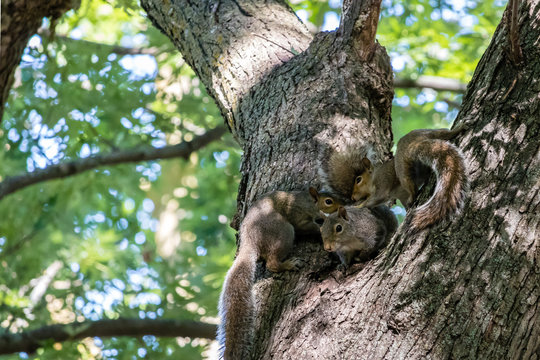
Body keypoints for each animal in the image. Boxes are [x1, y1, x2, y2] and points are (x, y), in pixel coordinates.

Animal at [216, 190, 324, 358]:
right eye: (328, 201)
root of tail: (250, 242)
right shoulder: (297, 211)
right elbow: (305, 226)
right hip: (282, 230)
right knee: (272, 263)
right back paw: (288, 264)